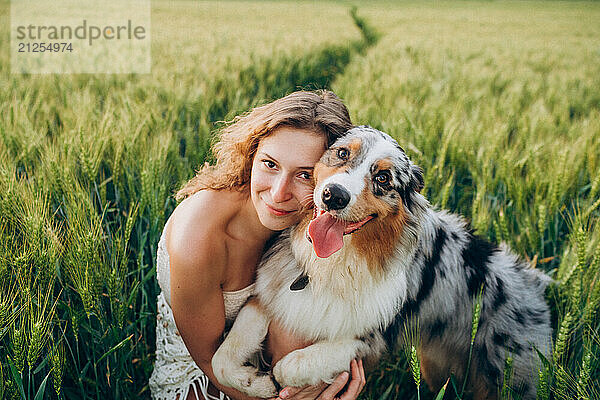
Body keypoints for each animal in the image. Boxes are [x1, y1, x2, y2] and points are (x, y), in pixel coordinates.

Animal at [211, 126, 552, 400]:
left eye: (383, 178)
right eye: (342, 153)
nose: (334, 195)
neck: (335, 263)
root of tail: (534, 282)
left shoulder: (369, 339)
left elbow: (291, 366)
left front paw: (278, 376)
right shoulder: (271, 297)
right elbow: (221, 359)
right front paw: (255, 382)